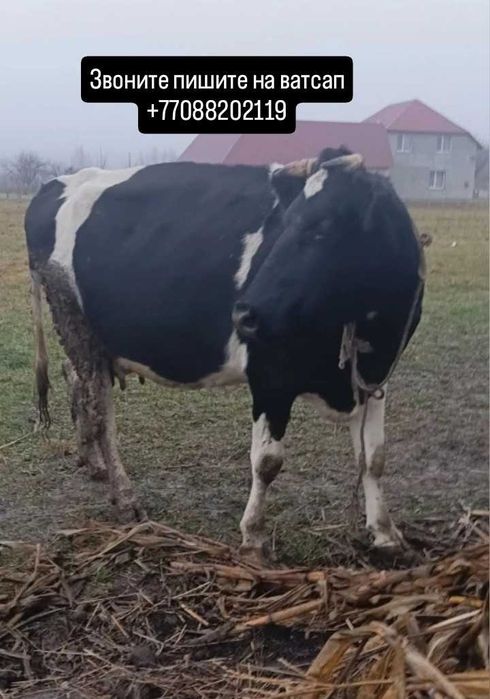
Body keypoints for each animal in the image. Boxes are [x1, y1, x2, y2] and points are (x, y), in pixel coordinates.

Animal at [25, 147, 425, 563]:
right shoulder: (269, 376)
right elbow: (267, 462)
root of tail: (56, 184)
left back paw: (91, 461)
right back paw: (125, 497)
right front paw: (254, 539)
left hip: (90, 340)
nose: (244, 314)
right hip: (74, 321)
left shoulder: (375, 377)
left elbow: (374, 458)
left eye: (324, 228)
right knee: (100, 410)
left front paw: (385, 533)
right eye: (284, 225)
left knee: (76, 382)